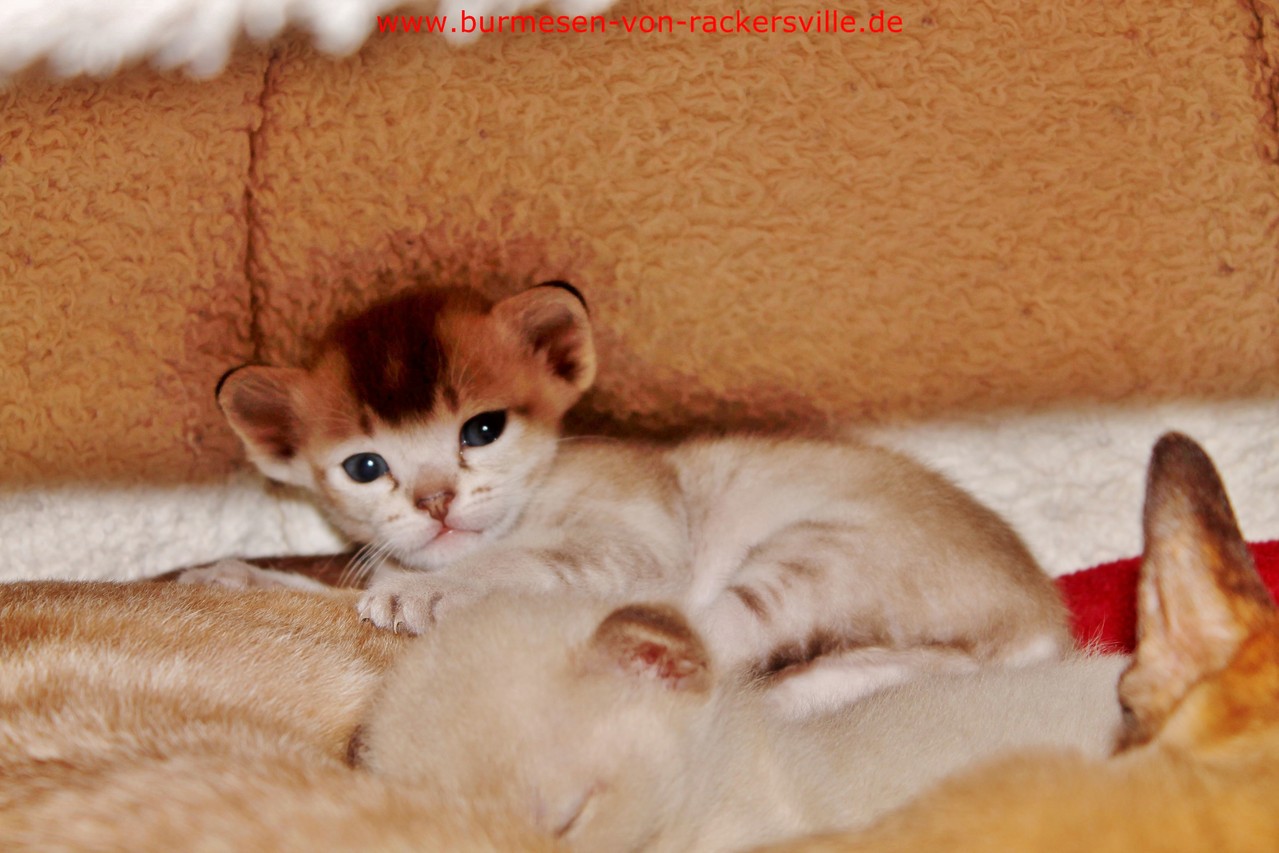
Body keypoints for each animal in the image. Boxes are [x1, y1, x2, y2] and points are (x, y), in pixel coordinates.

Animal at [204, 283, 1074, 711]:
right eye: (365, 466)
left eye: (481, 429)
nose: (435, 500)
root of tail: (1040, 615)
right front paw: (235, 575)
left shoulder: (638, 541)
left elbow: (526, 562)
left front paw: (422, 591)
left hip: (808, 555)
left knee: (709, 649)